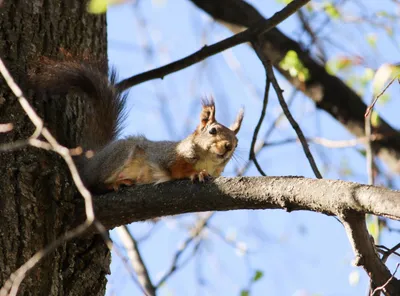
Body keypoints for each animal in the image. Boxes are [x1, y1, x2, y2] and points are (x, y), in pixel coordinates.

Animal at [30, 60, 244, 192]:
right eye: (213, 130)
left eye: (237, 142)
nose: (228, 146)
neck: (206, 160)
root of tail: (93, 159)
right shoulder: (170, 156)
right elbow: (178, 170)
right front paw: (196, 173)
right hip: (119, 155)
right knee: (92, 184)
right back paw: (114, 184)